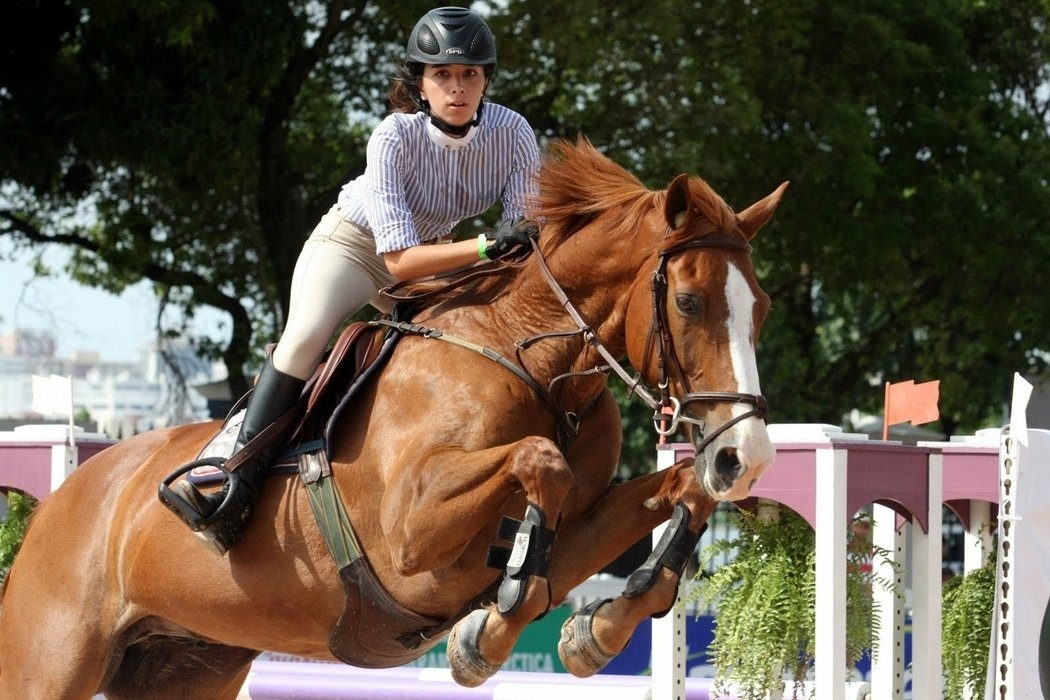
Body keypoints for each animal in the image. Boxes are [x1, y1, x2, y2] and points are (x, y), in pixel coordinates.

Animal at [0, 139, 785, 696]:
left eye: (763, 308)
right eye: (687, 302)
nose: (744, 457)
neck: (530, 360)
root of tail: (61, 502)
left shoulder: (576, 534)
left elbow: (672, 495)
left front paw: (595, 630)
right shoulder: (410, 539)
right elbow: (541, 462)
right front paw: (483, 639)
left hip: (188, 664)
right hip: (49, 664)